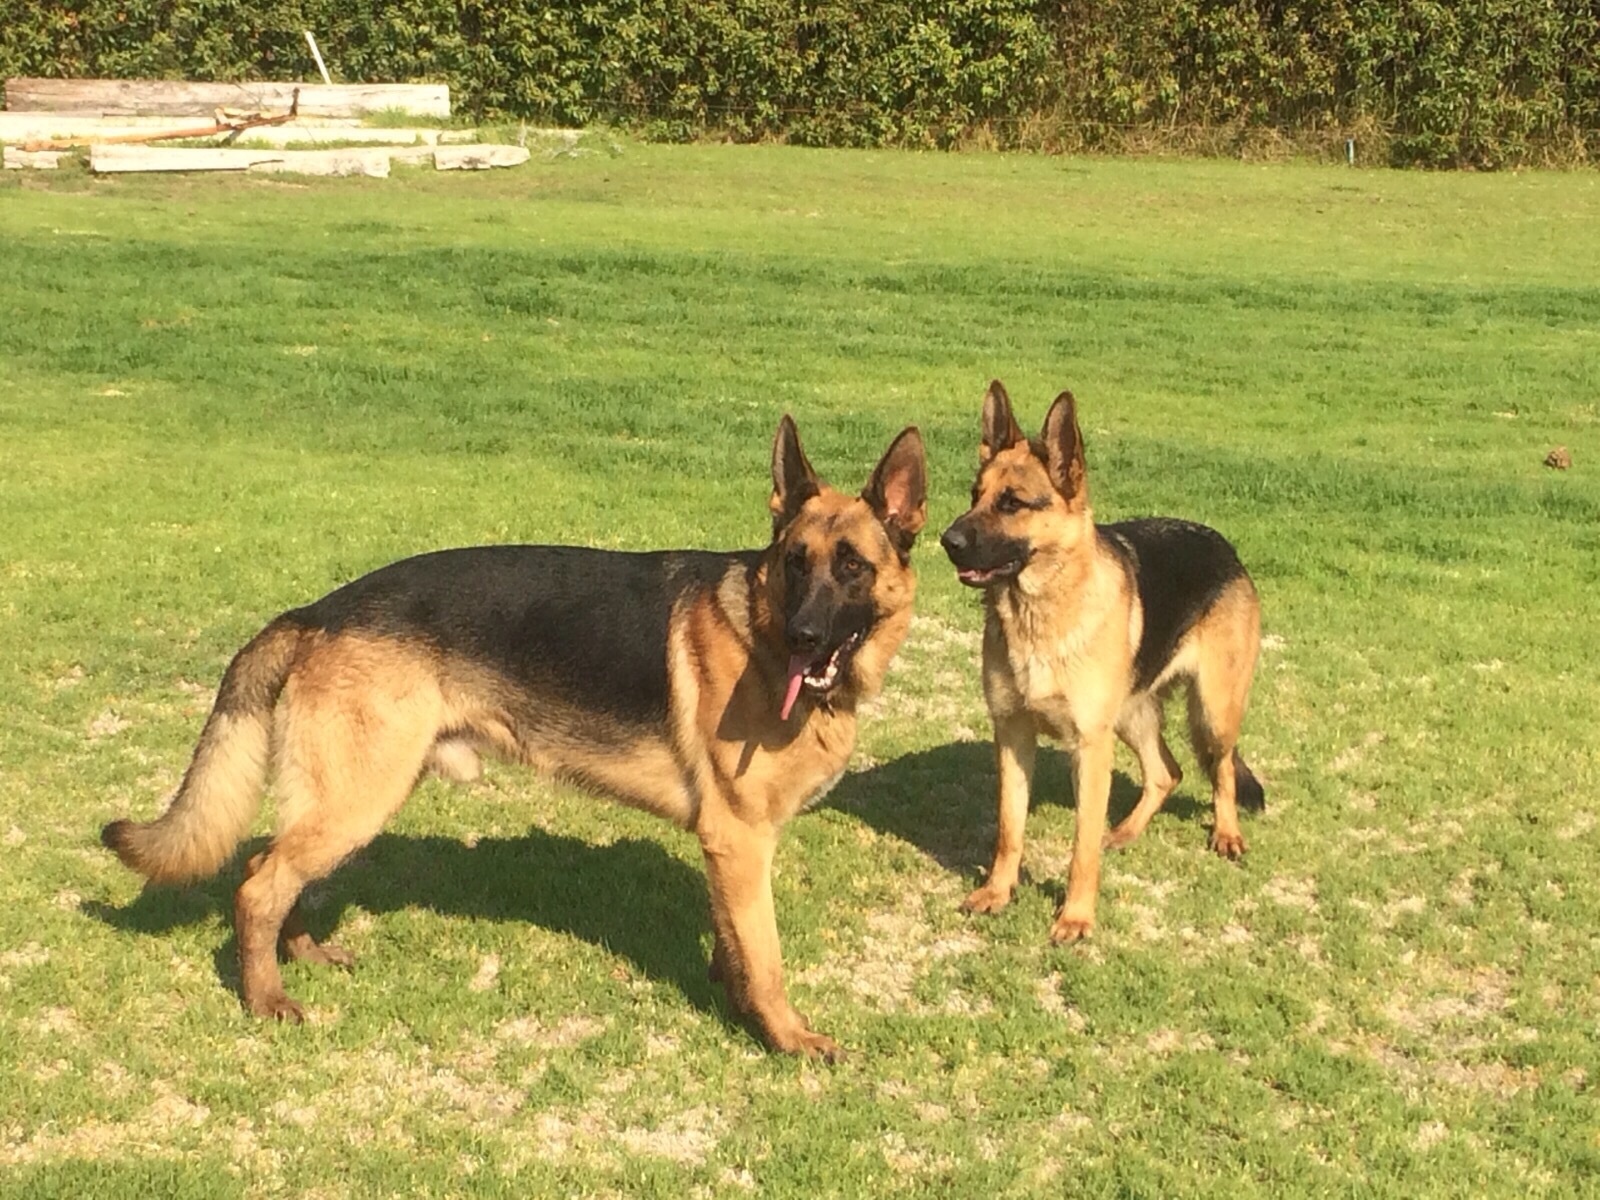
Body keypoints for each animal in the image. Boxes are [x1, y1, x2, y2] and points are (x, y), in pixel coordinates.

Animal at [103, 419, 928, 1056]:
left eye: (852, 568)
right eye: (795, 564)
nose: (805, 639)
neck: (757, 625)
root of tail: (319, 610)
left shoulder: (728, 851)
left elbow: (734, 945)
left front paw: (735, 1008)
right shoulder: (740, 840)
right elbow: (767, 957)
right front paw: (786, 1037)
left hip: (350, 798)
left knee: (276, 872)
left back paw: (299, 953)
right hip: (358, 798)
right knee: (258, 883)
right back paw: (265, 998)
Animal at [934, 385, 1260, 947]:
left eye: (1012, 503)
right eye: (974, 494)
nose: (946, 541)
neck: (1041, 614)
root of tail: (1227, 548)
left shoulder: (1088, 747)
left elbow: (1081, 846)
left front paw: (1076, 917)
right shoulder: (1013, 736)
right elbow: (1009, 828)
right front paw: (998, 892)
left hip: (1212, 713)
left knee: (1220, 771)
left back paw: (1226, 833)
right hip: (1131, 715)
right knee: (1167, 772)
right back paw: (1126, 832)